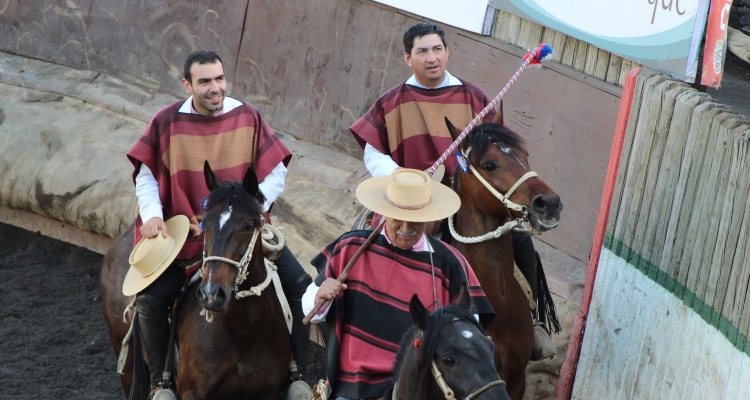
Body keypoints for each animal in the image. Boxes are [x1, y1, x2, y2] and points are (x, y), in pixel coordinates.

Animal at [103, 161, 294, 398]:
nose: (211, 294)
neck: (243, 334)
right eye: (205, 223)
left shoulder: (268, 392)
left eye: (248, 226)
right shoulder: (193, 392)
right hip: (126, 360)